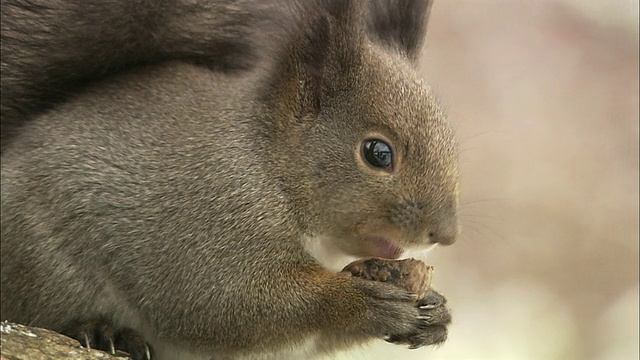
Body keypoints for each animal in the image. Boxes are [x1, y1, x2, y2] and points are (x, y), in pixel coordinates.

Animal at [0, 0, 460, 360]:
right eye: (377, 153)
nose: (446, 234)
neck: (270, 166)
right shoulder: (214, 213)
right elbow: (232, 303)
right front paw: (361, 302)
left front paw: (435, 311)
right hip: (41, 262)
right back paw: (100, 330)